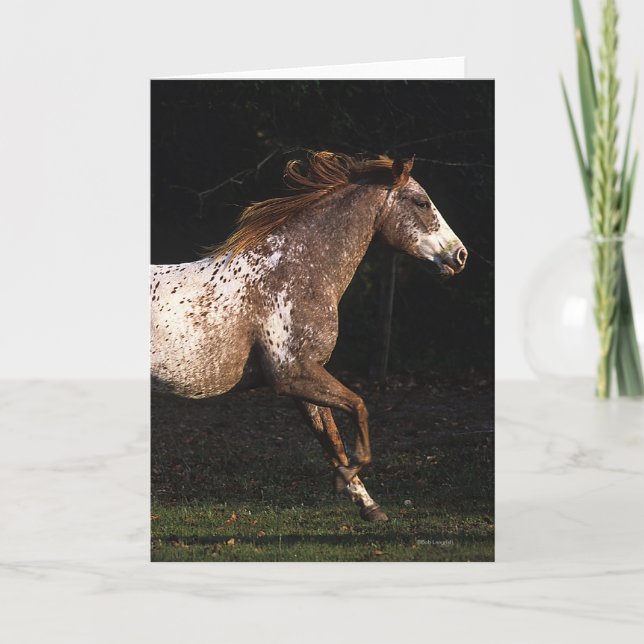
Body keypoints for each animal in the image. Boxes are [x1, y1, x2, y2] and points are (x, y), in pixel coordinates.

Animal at [151, 151, 467, 522]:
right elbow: (358, 408)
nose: (460, 255)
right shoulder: (293, 374)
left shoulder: (307, 379)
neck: (293, 271)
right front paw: (346, 479)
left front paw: (368, 504)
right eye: (422, 202)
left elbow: (332, 440)